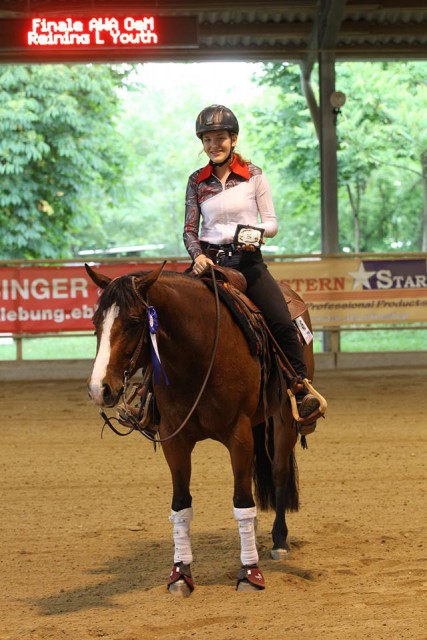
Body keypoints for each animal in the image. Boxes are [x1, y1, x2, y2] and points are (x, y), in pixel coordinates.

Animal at [85, 262, 322, 592]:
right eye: (96, 321)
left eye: (133, 322)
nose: (99, 389)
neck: (199, 353)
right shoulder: (174, 439)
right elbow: (181, 505)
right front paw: (180, 572)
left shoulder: (239, 434)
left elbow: (241, 501)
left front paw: (250, 572)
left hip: (284, 418)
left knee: (278, 472)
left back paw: (278, 541)